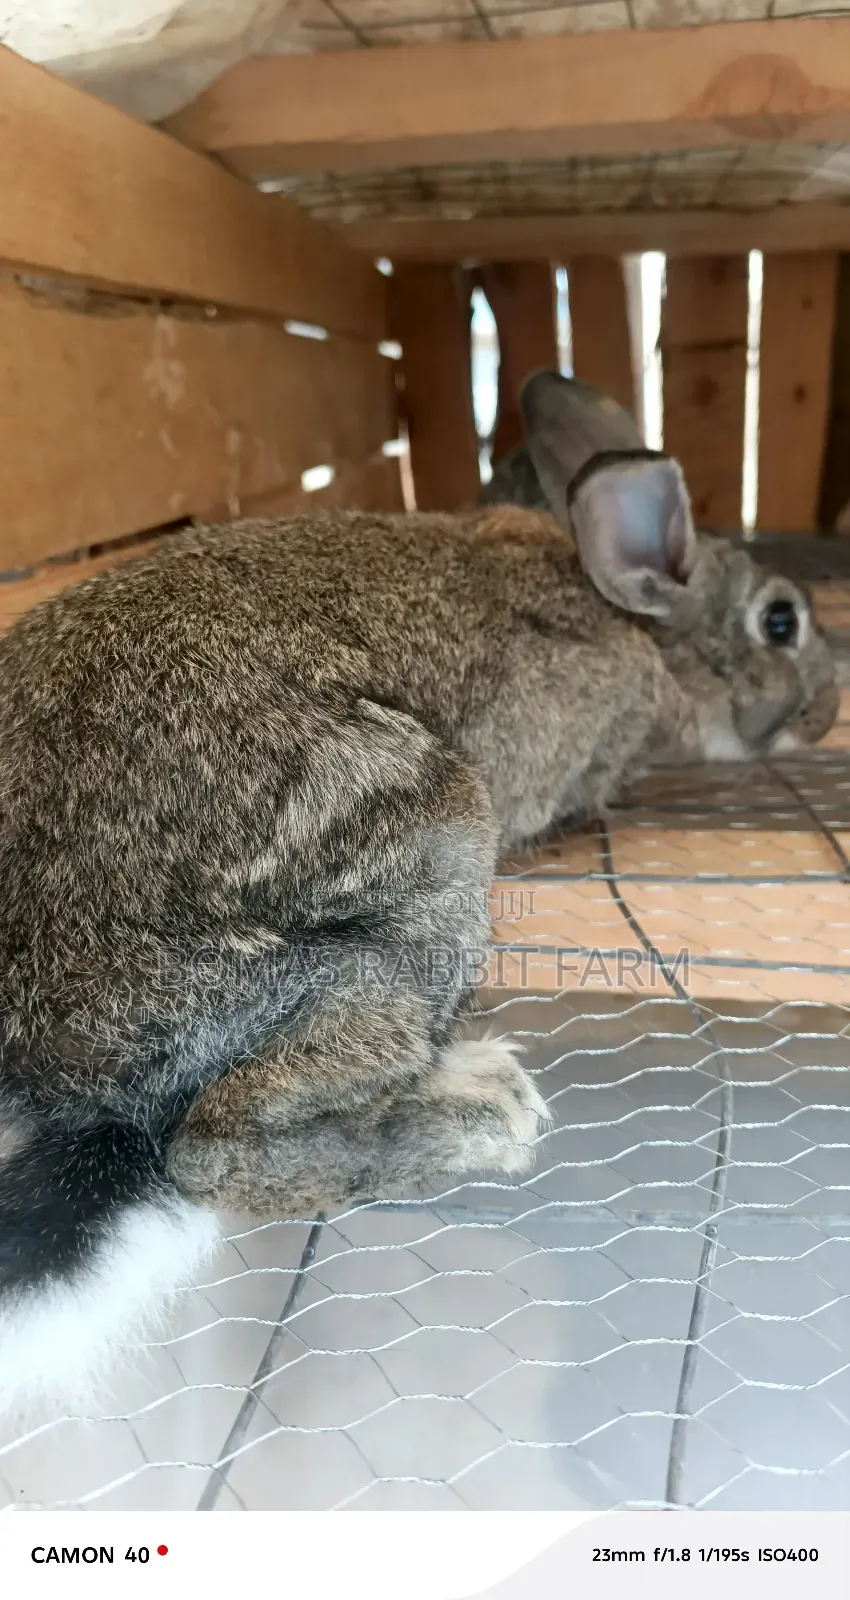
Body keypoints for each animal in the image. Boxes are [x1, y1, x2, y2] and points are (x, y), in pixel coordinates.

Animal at [0, 371, 837, 1413]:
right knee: (220, 1148)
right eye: (780, 621)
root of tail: (61, 1073)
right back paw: (483, 1112)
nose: (828, 708)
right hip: (424, 862)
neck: (636, 624)